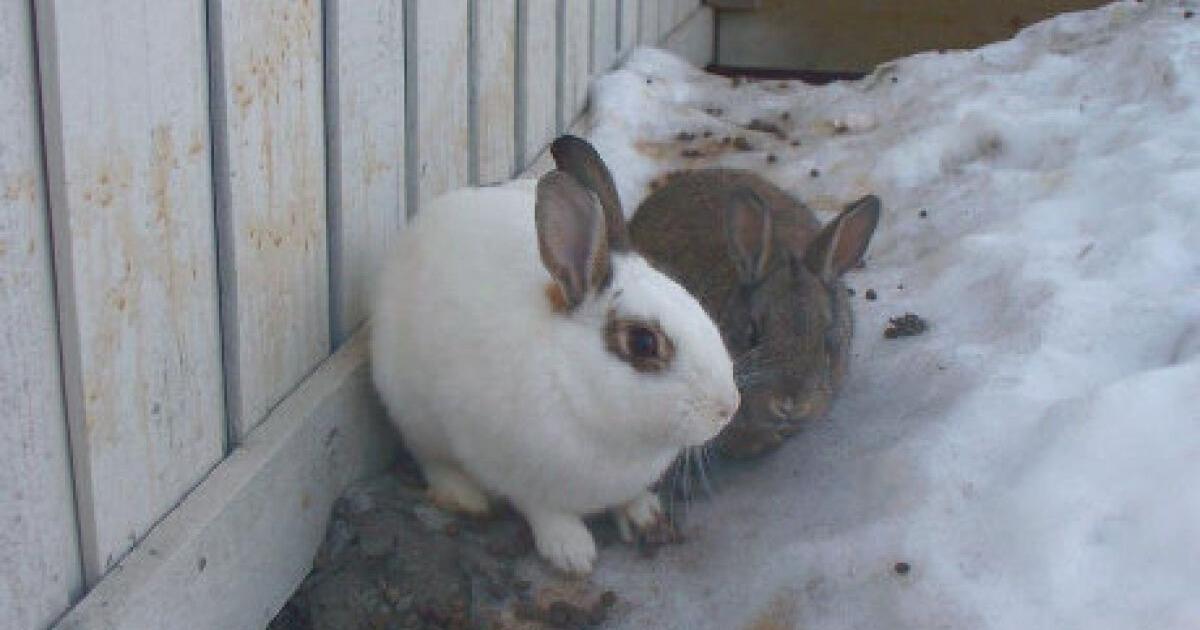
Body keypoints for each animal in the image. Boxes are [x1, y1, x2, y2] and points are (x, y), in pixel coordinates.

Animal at [371, 136, 739, 575]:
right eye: (643, 343)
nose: (728, 408)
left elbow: (628, 498)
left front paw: (645, 514)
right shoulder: (511, 469)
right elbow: (542, 510)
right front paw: (572, 552)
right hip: (413, 412)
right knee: (430, 458)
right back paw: (466, 497)